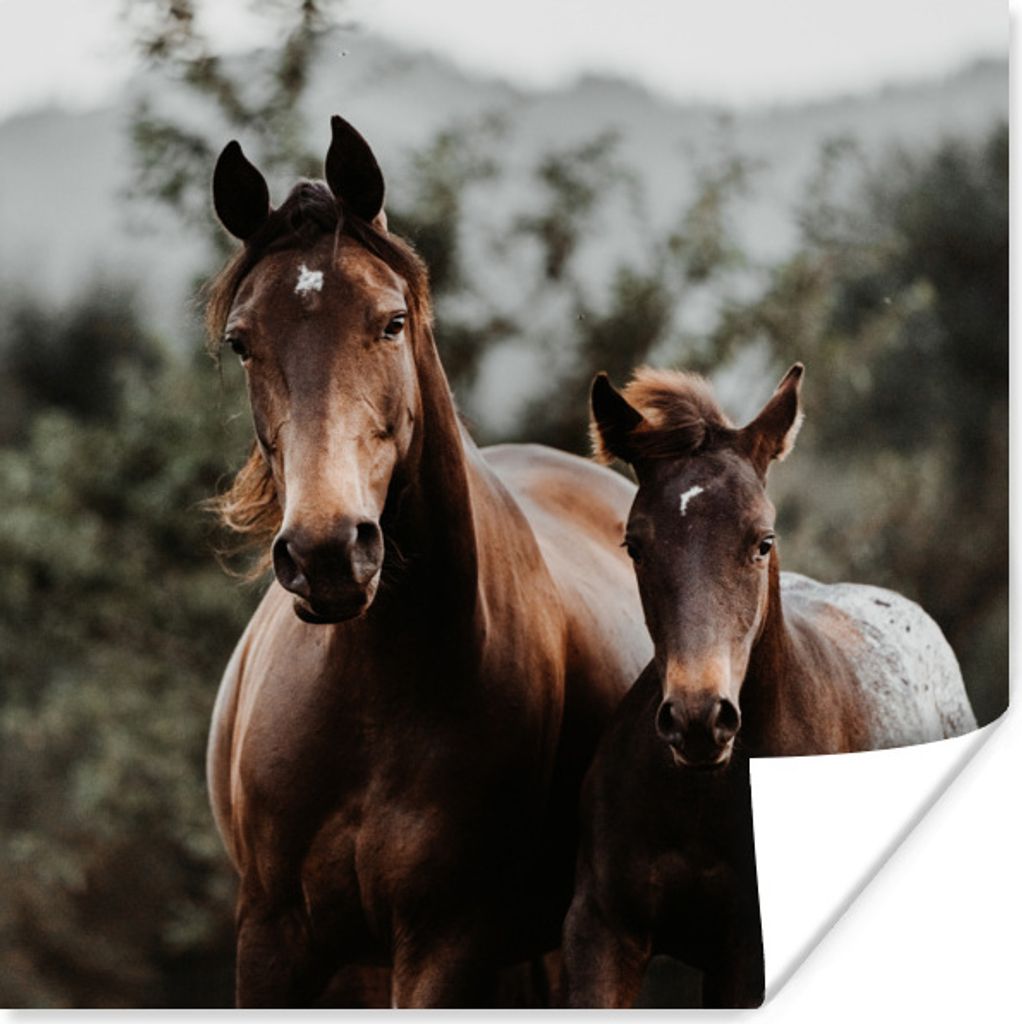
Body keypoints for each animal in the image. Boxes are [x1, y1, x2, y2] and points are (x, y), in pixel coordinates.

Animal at [202, 116, 651, 1008]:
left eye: (390, 322)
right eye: (242, 342)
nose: (327, 552)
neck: (375, 691)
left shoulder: (446, 943)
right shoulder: (271, 938)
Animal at [562, 362, 976, 1007]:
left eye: (763, 541)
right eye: (635, 544)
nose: (699, 719)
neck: (708, 796)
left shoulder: (745, 956)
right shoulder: (604, 932)